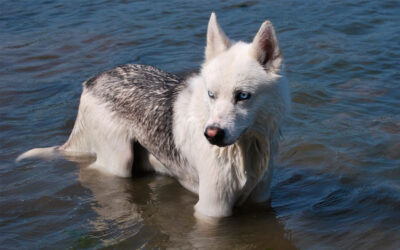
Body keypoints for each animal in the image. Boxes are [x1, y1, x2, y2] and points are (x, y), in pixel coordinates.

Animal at [16, 13, 290, 217]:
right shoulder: (211, 210)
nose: (211, 135)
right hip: (119, 162)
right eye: (211, 95)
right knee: (95, 169)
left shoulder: (261, 200)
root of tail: (93, 80)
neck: (246, 150)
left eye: (242, 96)